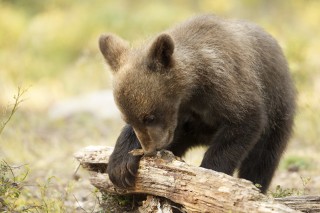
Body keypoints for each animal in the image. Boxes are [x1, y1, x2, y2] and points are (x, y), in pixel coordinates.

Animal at [99, 14, 296, 194]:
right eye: (129, 119)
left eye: (150, 117)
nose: (150, 150)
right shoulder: (184, 117)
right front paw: (121, 166)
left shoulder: (229, 88)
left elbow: (243, 124)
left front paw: (210, 173)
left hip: (278, 111)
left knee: (262, 158)